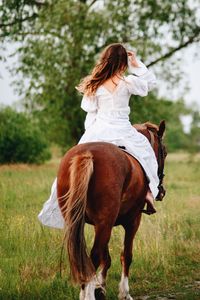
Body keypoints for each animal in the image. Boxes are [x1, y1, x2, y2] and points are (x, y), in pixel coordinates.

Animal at [57, 120, 166, 298]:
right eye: (165, 152)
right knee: (93, 257)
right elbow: (126, 256)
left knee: (83, 257)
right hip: (107, 223)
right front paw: (124, 293)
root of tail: (86, 154)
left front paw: (100, 288)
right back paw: (88, 295)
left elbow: (106, 257)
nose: (161, 191)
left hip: (82, 222)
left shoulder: (100, 224)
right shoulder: (133, 221)